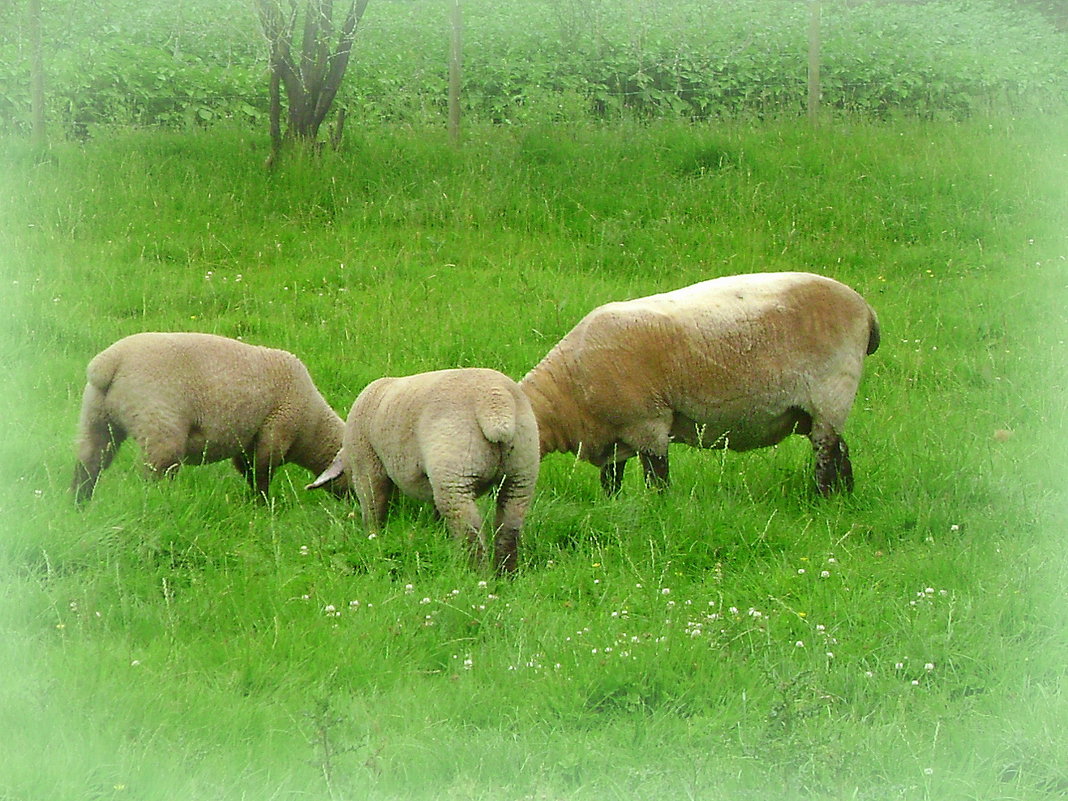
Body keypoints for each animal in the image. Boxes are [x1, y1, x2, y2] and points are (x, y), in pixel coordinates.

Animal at [71, 331, 346, 501]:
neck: (312, 426)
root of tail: (109, 362)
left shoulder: (246, 441)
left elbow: (248, 471)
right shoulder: (277, 429)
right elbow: (262, 474)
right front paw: (263, 505)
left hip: (97, 417)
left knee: (89, 464)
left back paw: (79, 506)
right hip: (160, 424)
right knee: (155, 474)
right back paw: (159, 504)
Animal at [309, 369, 542, 576]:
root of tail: (496, 404)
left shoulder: (368, 466)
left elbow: (374, 505)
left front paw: (373, 537)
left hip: (454, 470)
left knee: (469, 529)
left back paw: (476, 573)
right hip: (521, 470)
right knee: (509, 527)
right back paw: (505, 574)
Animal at [521, 273, 880, 499]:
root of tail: (865, 309)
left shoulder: (648, 424)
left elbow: (657, 477)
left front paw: (659, 509)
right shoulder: (612, 436)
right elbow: (611, 481)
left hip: (832, 391)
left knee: (827, 453)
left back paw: (823, 499)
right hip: (813, 410)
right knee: (841, 451)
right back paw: (844, 498)